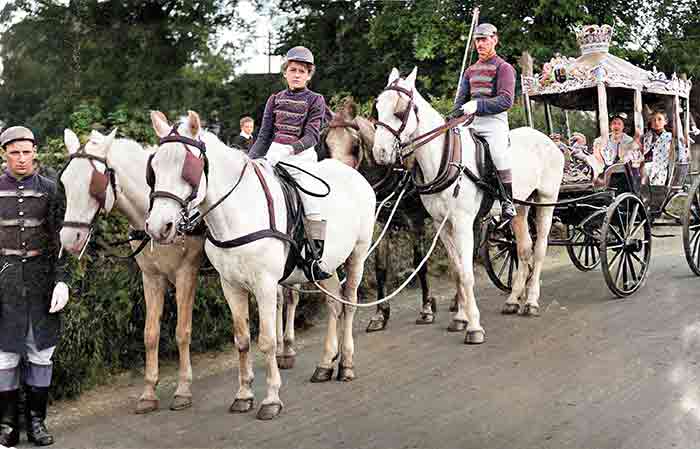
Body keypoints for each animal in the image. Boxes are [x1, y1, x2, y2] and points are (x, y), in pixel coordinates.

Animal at [145, 110, 378, 418]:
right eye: (153, 169)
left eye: (188, 168)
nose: (158, 227)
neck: (239, 212)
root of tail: (353, 174)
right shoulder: (231, 286)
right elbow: (242, 339)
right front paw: (244, 395)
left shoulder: (265, 285)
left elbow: (267, 341)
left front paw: (271, 399)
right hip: (325, 266)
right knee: (333, 305)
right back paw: (326, 364)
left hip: (357, 256)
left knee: (349, 303)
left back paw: (347, 364)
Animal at [372, 67, 564, 340]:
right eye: (377, 107)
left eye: (400, 110)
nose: (380, 153)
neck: (444, 158)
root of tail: (550, 140)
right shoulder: (443, 224)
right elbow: (456, 271)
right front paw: (460, 318)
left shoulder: (463, 223)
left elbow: (466, 272)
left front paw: (473, 326)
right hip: (520, 207)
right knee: (523, 249)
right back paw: (514, 300)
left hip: (546, 201)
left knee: (539, 250)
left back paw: (531, 301)